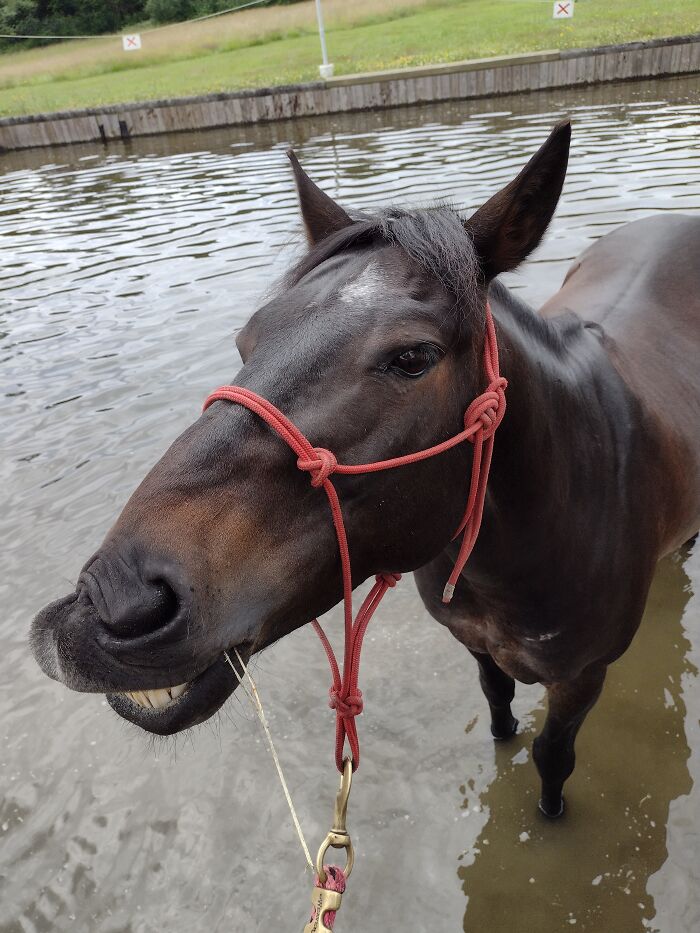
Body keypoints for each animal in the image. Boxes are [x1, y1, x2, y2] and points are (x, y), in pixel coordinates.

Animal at [31, 121, 700, 819]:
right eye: (247, 340)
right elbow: (498, 708)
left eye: (413, 357)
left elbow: (551, 758)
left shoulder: (583, 676)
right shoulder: (478, 646)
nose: (110, 602)